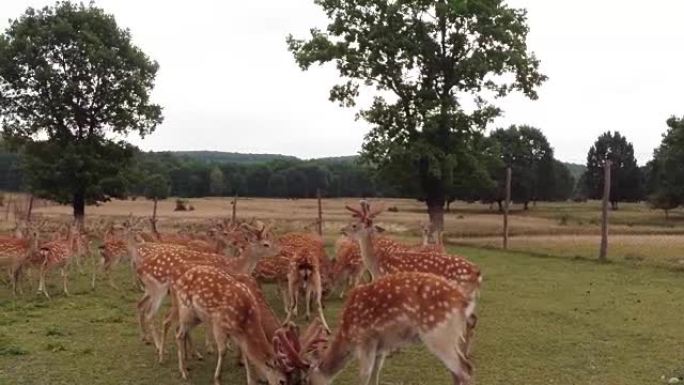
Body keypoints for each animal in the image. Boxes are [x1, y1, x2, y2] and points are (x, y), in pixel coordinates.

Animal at [308, 272, 472, 384]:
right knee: (460, 368)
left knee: (464, 369)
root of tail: (464, 301)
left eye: (306, 381)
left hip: (438, 333)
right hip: (452, 336)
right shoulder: (381, 346)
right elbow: (376, 372)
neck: (348, 334)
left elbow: (364, 375)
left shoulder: (366, 339)